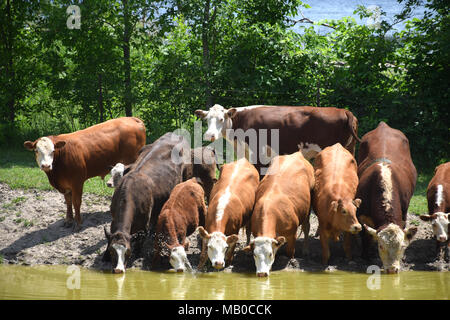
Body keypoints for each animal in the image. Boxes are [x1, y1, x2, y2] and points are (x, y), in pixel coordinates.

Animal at [104, 132, 217, 272]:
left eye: (128, 252)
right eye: (112, 251)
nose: (118, 270)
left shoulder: (142, 225)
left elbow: (140, 241)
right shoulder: (114, 219)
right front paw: (105, 256)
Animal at [356, 121, 418, 274]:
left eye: (402, 246)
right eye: (381, 246)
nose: (392, 269)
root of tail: (383, 125)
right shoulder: (361, 213)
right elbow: (364, 234)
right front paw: (365, 255)